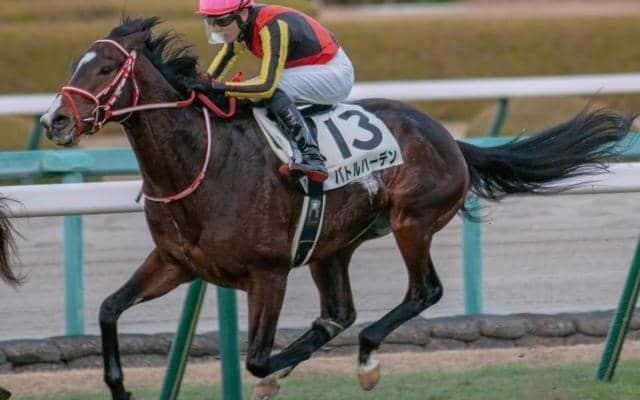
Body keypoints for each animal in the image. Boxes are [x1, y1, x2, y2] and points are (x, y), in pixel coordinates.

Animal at [39, 17, 633, 400]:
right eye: (75, 63)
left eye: (105, 69)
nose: (54, 120)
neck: (199, 163)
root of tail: (448, 137)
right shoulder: (175, 263)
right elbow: (109, 309)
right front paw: (119, 386)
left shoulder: (268, 273)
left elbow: (256, 357)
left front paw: (271, 376)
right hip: (332, 244)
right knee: (340, 312)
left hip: (411, 220)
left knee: (423, 292)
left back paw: (367, 358)